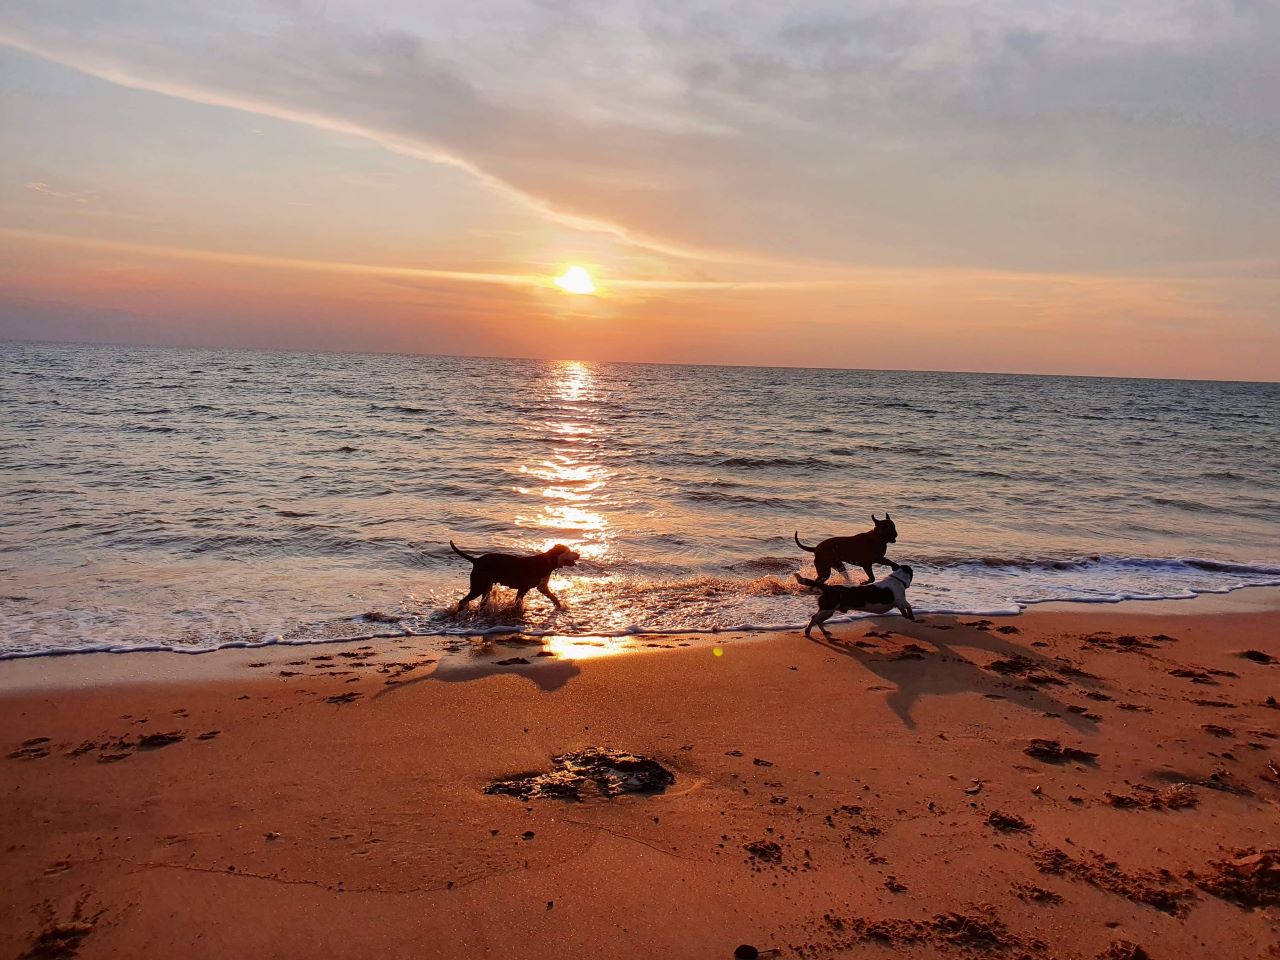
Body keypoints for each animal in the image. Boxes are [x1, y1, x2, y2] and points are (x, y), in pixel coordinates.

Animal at [445, 537, 576, 611]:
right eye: (568, 551)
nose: (578, 554)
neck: (547, 563)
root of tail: (476, 560)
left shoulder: (542, 587)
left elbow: (553, 597)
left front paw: (559, 606)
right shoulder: (524, 587)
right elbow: (518, 601)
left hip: (486, 586)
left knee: (482, 602)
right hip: (478, 586)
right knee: (463, 601)